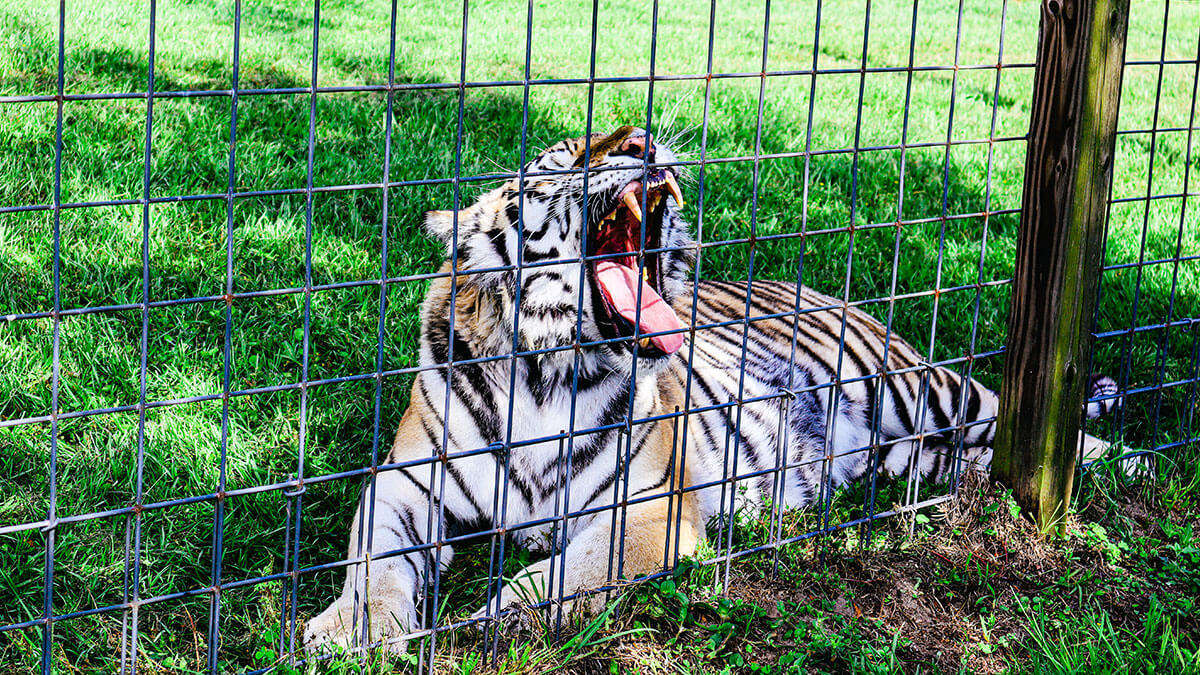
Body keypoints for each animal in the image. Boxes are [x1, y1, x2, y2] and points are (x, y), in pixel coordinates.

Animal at [302, 124, 1123, 653]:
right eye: (561, 161)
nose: (640, 141)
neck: (545, 371)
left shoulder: (649, 507)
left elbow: (573, 574)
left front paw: (498, 617)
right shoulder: (404, 484)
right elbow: (372, 562)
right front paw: (348, 631)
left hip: (925, 390)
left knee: (1066, 438)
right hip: (914, 454)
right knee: (969, 464)